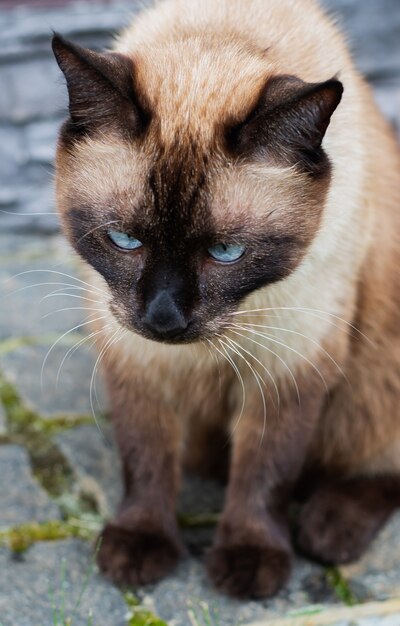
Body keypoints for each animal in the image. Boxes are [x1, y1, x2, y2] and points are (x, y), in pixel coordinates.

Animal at [52, 0, 400, 596]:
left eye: (226, 252)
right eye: (124, 240)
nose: (164, 317)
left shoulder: (288, 366)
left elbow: (266, 469)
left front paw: (250, 560)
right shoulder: (136, 358)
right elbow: (145, 457)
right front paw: (139, 547)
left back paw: (328, 529)